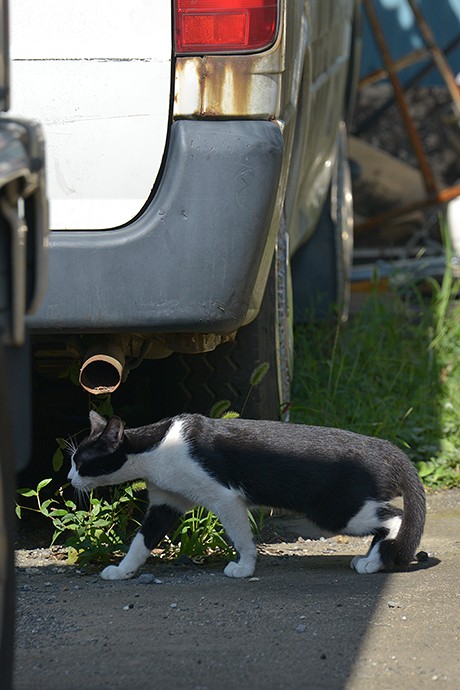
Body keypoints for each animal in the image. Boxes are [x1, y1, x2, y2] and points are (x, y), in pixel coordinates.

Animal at [69, 412, 428, 576]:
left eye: (81, 462)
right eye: (72, 461)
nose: (70, 478)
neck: (155, 449)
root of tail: (384, 448)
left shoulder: (224, 497)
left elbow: (241, 537)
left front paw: (244, 567)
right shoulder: (166, 502)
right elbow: (141, 542)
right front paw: (123, 571)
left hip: (335, 509)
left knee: (395, 517)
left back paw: (376, 561)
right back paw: (369, 559)